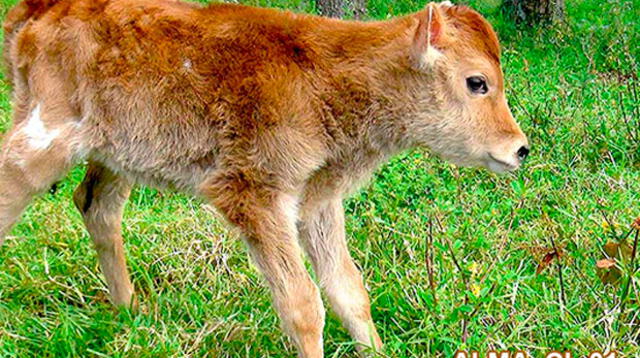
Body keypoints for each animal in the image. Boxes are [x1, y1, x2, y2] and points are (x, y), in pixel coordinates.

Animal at [2, 0, 528, 356]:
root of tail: (40, 9)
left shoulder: (318, 199)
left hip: (116, 156)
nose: (519, 149)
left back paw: (130, 315)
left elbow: (348, 290)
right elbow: (302, 305)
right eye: (476, 82)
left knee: (95, 205)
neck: (325, 76)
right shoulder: (257, 198)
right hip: (42, 141)